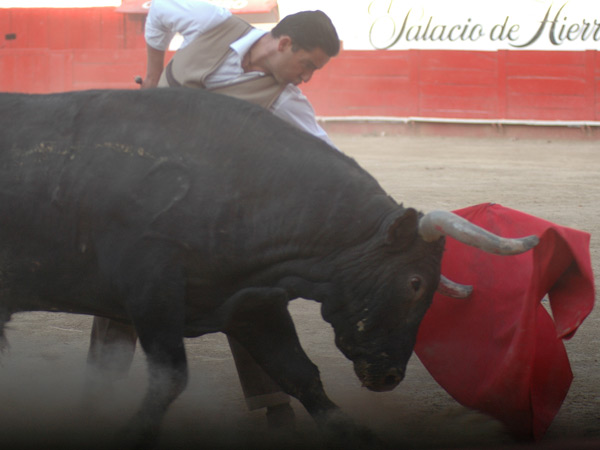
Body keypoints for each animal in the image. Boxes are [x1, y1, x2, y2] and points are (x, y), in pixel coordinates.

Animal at [0, 89, 536, 446]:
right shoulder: (151, 292)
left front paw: (361, 434)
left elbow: (300, 374)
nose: (389, 377)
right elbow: (169, 378)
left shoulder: (251, 304)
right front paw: (130, 435)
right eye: (415, 282)